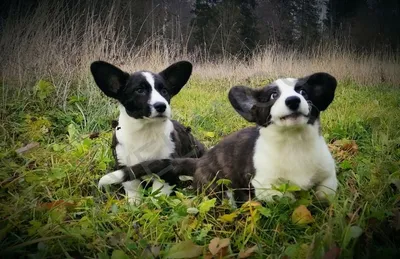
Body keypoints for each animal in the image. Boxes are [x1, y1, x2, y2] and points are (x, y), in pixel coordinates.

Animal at [91, 61, 206, 205]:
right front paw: (134, 204)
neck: (146, 130)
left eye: (164, 91)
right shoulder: (125, 164)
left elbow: (159, 193)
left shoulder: (166, 169)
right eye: (139, 90)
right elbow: (133, 188)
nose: (161, 106)